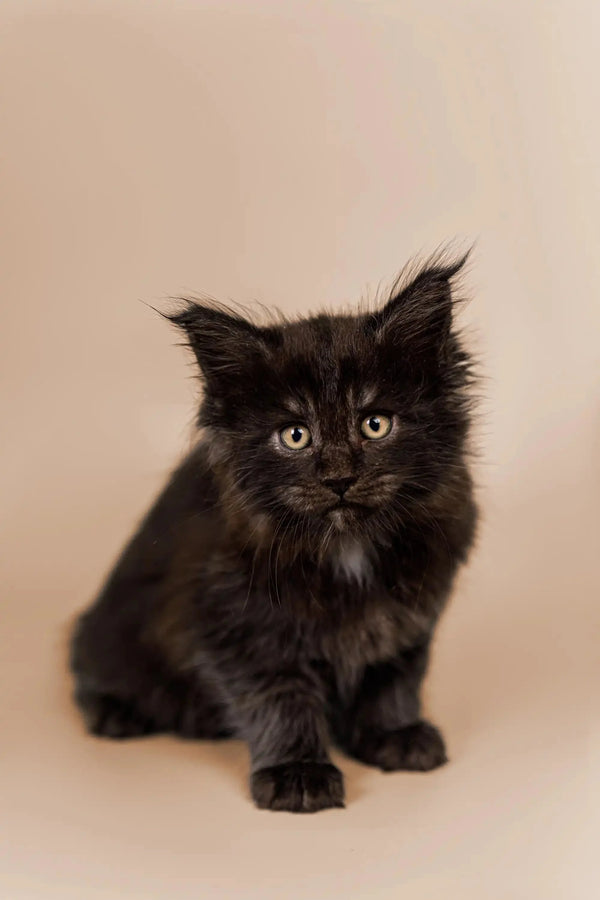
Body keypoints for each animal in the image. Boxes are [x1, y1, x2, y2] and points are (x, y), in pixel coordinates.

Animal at [69, 255, 478, 816]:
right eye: (295, 435)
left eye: (375, 424)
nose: (338, 477)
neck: (347, 550)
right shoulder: (237, 624)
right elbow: (279, 697)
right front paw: (297, 772)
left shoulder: (409, 615)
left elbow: (392, 674)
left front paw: (393, 734)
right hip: (113, 629)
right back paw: (120, 712)